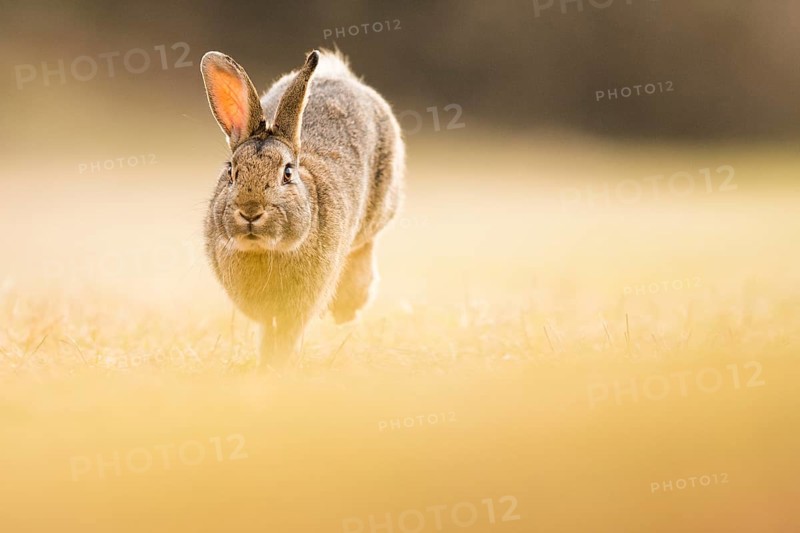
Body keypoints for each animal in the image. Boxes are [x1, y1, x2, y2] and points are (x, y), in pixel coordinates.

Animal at [200, 49, 404, 369]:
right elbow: (268, 331)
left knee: (365, 246)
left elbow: (289, 332)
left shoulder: (303, 302)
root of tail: (339, 75)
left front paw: (282, 365)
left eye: (287, 173)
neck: (266, 251)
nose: (250, 212)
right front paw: (267, 364)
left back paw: (348, 306)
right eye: (231, 171)